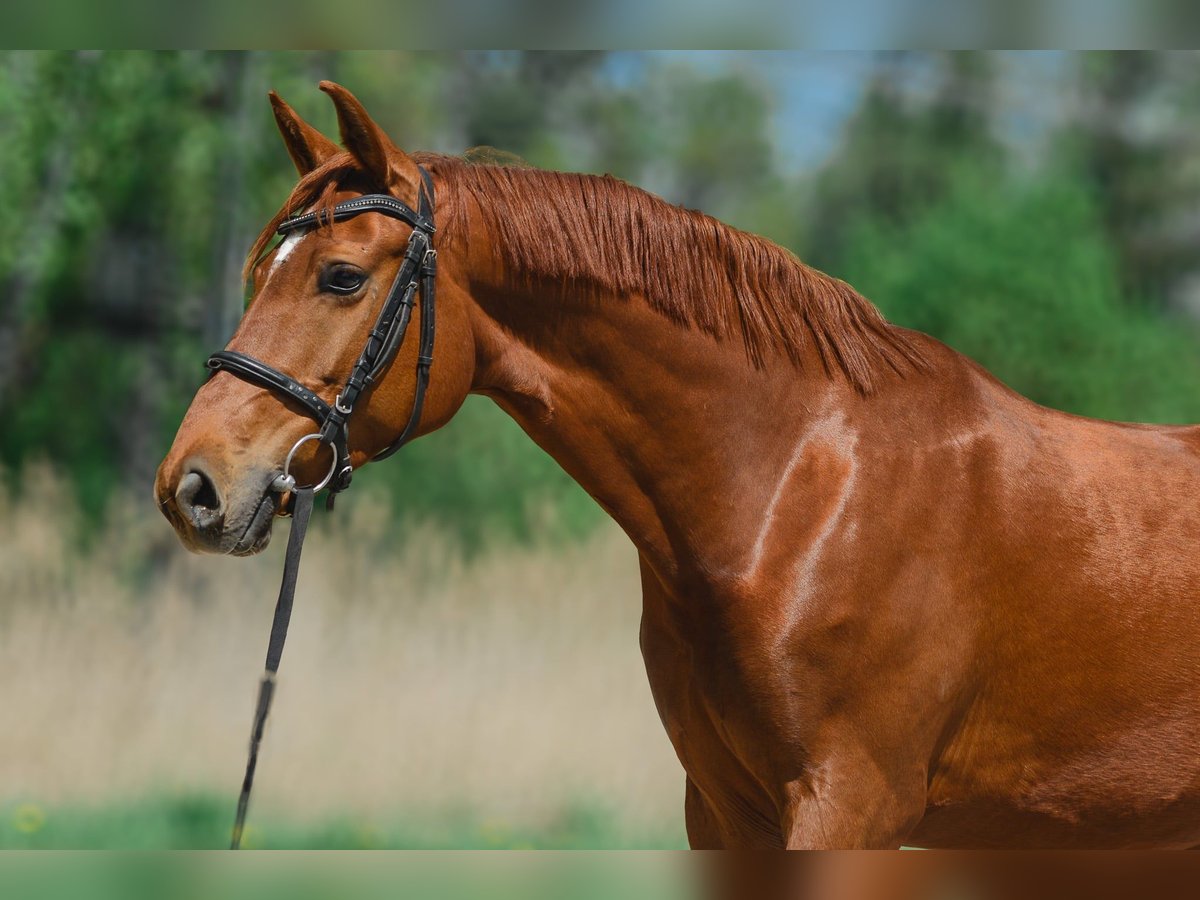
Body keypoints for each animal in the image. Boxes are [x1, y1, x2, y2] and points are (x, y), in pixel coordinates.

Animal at [155, 81, 1200, 849]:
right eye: (257, 273)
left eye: (340, 277)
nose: (191, 487)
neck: (794, 499)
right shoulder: (723, 809)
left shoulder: (849, 807)